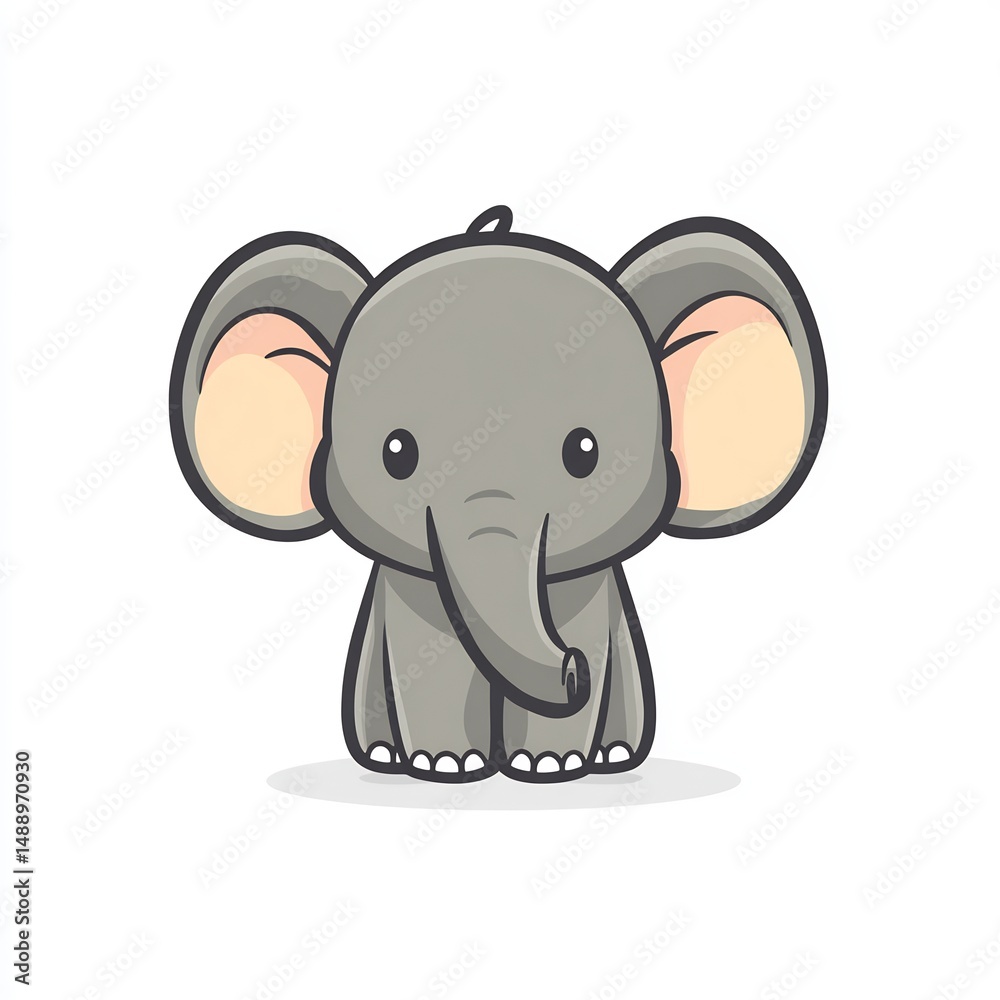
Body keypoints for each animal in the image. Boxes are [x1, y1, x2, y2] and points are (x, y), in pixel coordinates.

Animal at [170, 204, 827, 783]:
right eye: (397, 453)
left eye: (585, 453)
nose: (572, 669)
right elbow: (426, 666)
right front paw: (445, 768)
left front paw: (549, 768)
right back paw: (384, 758)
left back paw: (612, 757)